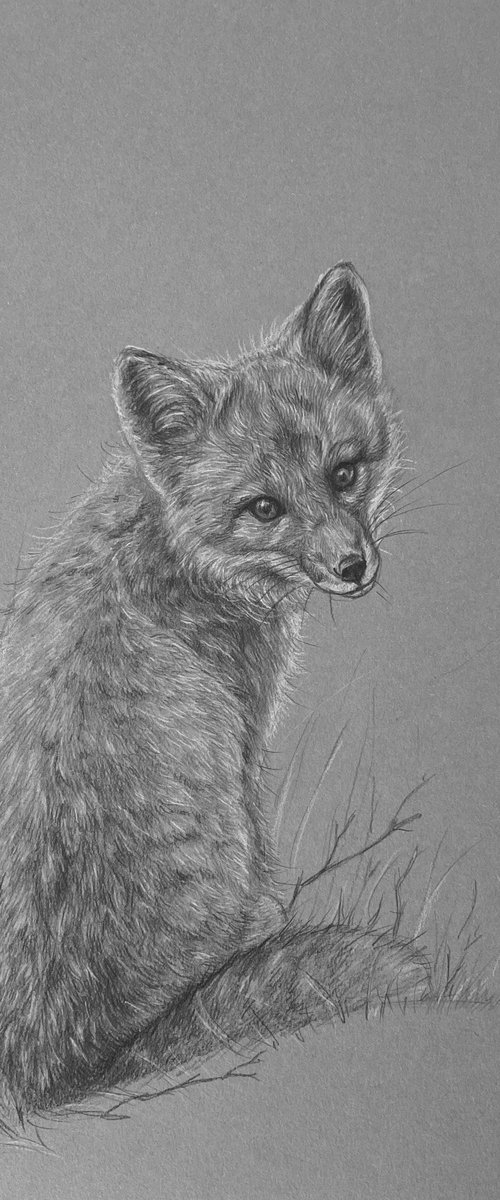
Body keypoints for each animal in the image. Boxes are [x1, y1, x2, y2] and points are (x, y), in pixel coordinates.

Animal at [0, 262, 429, 1117]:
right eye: (264, 507)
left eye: (345, 472)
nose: (353, 568)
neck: (177, 546)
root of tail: (44, 1080)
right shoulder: (243, 732)